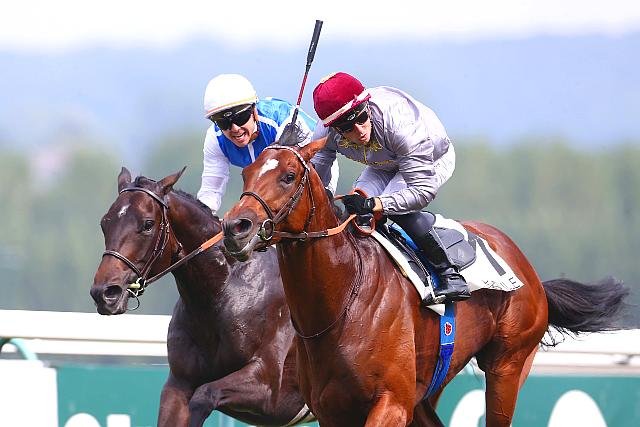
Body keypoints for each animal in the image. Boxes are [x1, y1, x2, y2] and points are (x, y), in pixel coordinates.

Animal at [90, 167, 314, 427]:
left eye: (147, 224)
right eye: (105, 222)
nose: (104, 293)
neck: (221, 292)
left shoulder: (268, 389)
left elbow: (205, 395)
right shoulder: (178, 384)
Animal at [221, 138, 629, 427]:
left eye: (288, 176)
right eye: (246, 173)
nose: (236, 227)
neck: (341, 303)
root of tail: (527, 270)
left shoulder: (391, 403)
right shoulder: (332, 411)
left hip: (508, 365)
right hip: (433, 385)